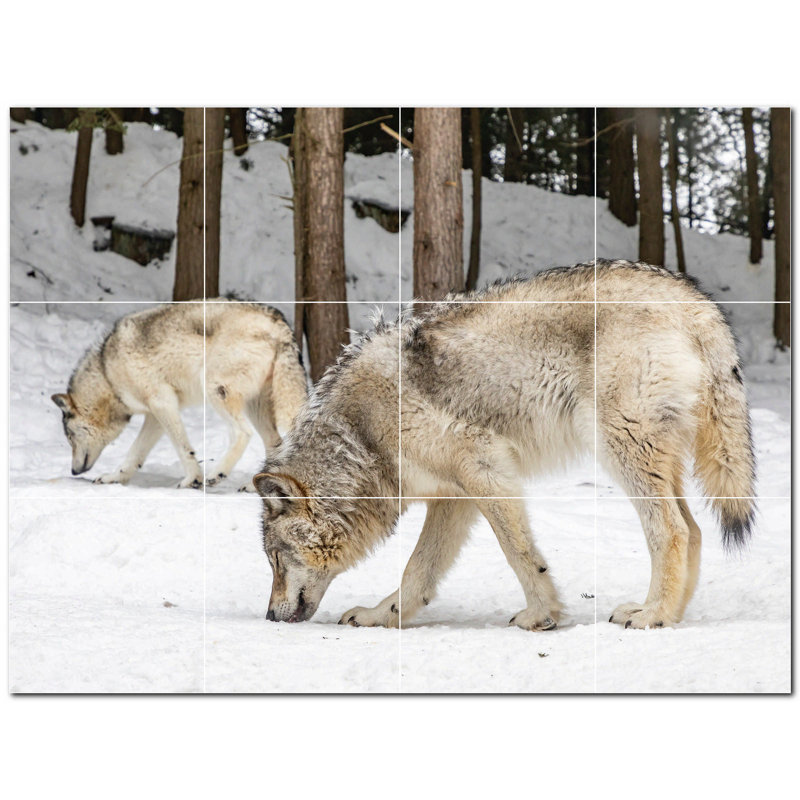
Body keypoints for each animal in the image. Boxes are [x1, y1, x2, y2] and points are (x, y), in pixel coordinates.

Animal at [52, 301, 307, 489]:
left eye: (70, 438)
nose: (73, 470)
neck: (108, 374)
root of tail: (279, 322)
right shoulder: (154, 415)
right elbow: (134, 454)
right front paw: (114, 478)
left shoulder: (163, 403)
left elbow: (183, 447)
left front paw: (193, 479)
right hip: (255, 406)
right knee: (275, 443)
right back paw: (255, 486)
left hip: (216, 391)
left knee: (242, 433)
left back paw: (216, 474)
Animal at [255, 260, 756, 630]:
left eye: (276, 560)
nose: (270, 616)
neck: (362, 435)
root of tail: (695, 301)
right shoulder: (453, 497)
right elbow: (417, 570)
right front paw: (382, 616)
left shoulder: (485, 468)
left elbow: (519, 553)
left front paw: (541, 616)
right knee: (693, 530)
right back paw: (670, 616)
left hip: (621, 450)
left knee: (671, 531)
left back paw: (652, 615)